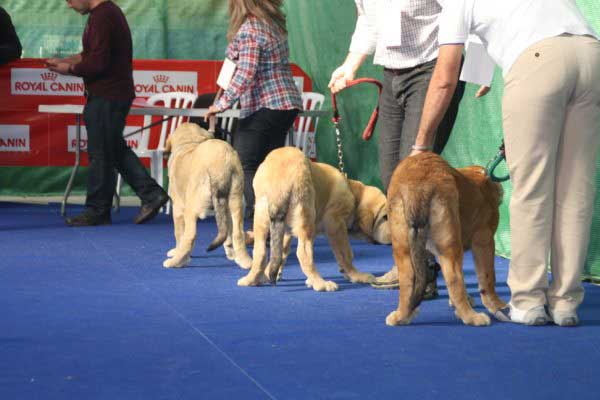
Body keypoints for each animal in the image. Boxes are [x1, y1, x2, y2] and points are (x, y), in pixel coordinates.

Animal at [162, 123, 251, 270]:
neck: (189, 142)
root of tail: (220, 165)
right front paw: (230, 253)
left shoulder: (178, 209)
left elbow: (179, 234)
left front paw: (178, 252)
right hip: (236, 201)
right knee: (238, 233)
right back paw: (245, 261)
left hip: (192, 208)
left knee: (190, 235)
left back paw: (176, 262)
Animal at [237, 146, 392, 290]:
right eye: (385, 217)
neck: (354, 195)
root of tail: (280, 180)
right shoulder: (336, 225)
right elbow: (345, 254)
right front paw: (356, 275)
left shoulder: (287, 232)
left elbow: (281, 252)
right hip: (306, 212)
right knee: (303, 254)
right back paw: (321, 283)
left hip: (262, 217)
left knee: (260, 252)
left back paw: (251, 279)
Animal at [384, 152, 506, 324]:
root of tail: (417, 184)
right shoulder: (485, 241)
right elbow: (488, 278)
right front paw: (497, 305)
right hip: (451, 246)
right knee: (454, 279)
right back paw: (472, 317)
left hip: (404, 248)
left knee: (407, 280)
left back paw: (401, 316)